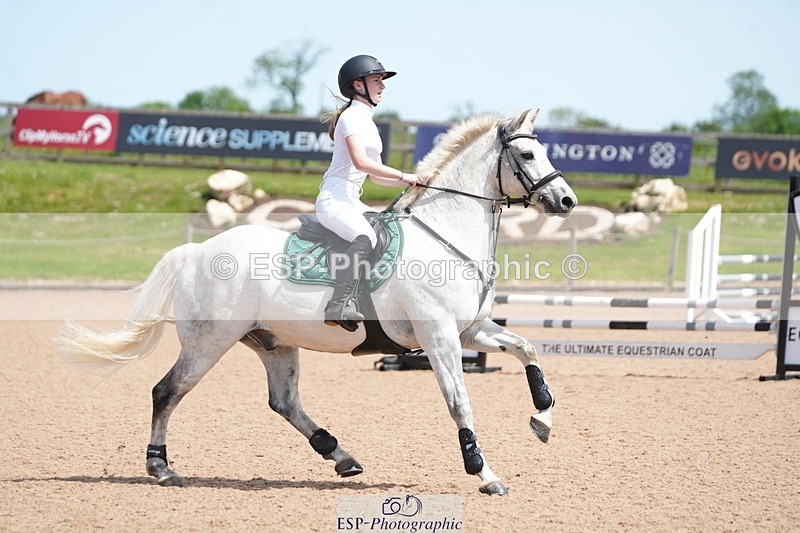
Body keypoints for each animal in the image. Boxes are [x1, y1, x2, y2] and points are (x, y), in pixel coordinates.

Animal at [55, 108, 577, 495]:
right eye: (527, 153)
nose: (567, 201)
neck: (445, 234)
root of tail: (197, 251)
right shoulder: (439, 336)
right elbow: (459, 402)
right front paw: (485, 474)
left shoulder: (472, 331)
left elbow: (528, 349)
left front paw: (542, 419)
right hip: (209, 342)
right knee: (167, 392)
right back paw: (162, 469)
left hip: (273, 343)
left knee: (283, 402)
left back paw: (341, 457)